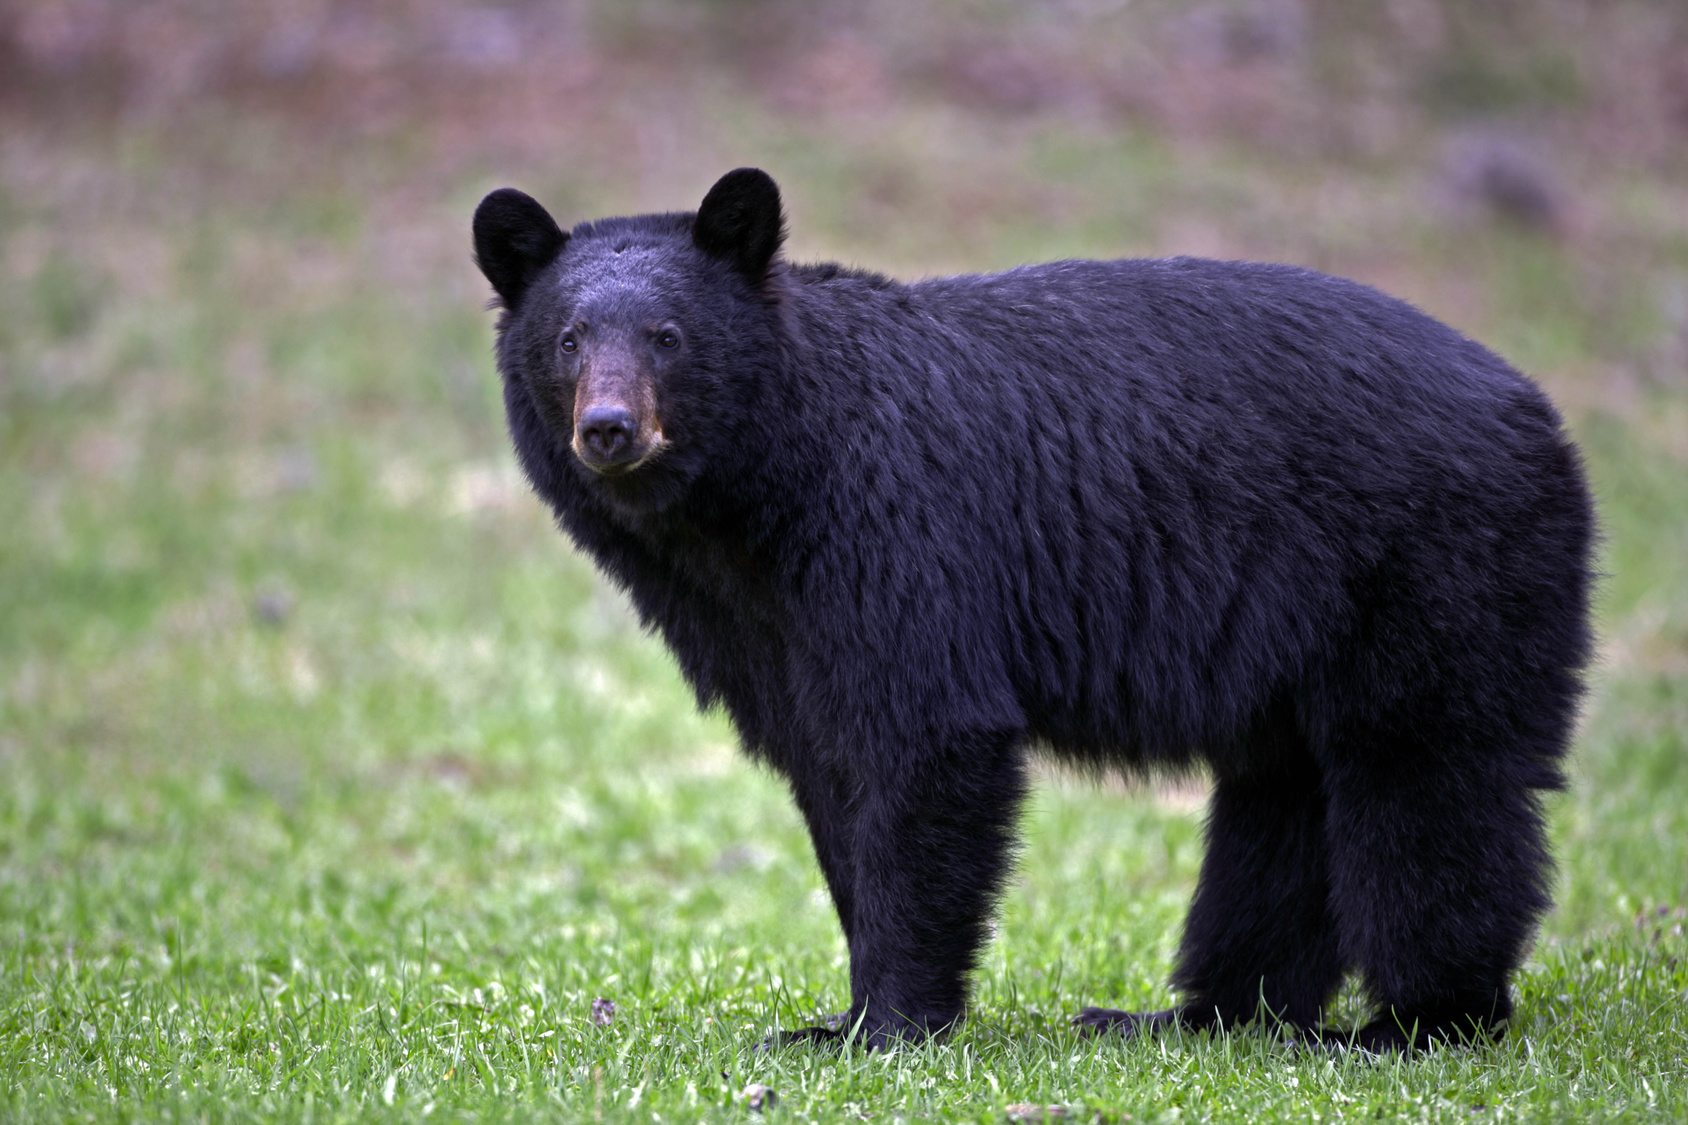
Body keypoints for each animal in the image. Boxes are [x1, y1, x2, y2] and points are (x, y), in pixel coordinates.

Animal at [472, 168, 1593, 1054]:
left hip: (1434, 568)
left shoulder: (899, 531)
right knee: (1283, 802)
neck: (754, 500)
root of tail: (1542, 414)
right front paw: (833, 1017)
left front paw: (886, 1024)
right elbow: (828, 772)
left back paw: (1411, 1024)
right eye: (568, 340)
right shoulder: (760, 630)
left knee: (1424, 780)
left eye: (668, 337)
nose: (609, 429)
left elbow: (929, 740)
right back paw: (1192, 1016)